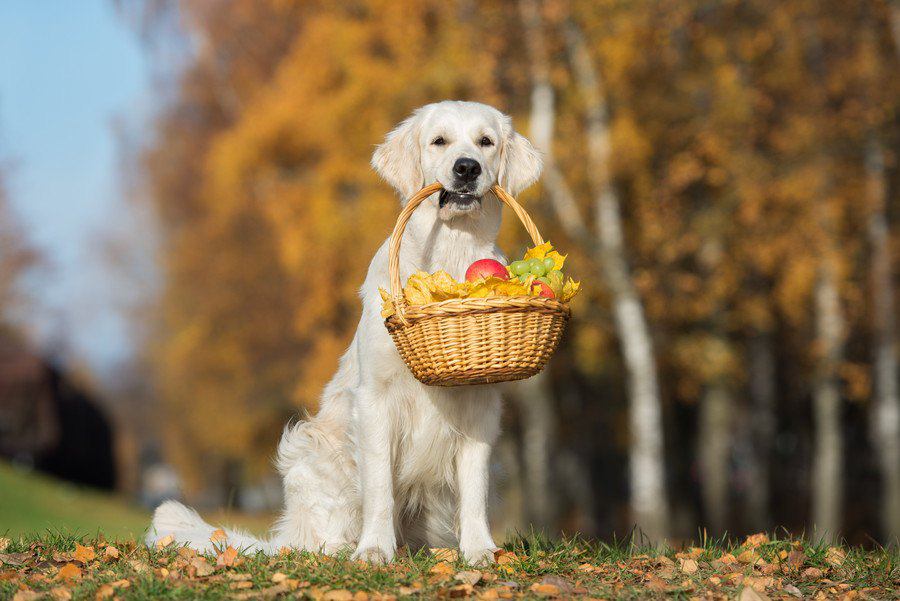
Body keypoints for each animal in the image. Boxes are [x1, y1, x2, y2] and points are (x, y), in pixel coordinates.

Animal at [148, 101, 540, 564]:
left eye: (486, 142)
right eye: (439, 141)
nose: (466, 168)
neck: (449, 252)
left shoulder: (480, 405)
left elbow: (474, 489)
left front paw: (480, 550)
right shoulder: (375, 399)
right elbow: (380, 488)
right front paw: (373, 550)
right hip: (314, 451)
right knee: (319, 539)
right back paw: (344, 548)